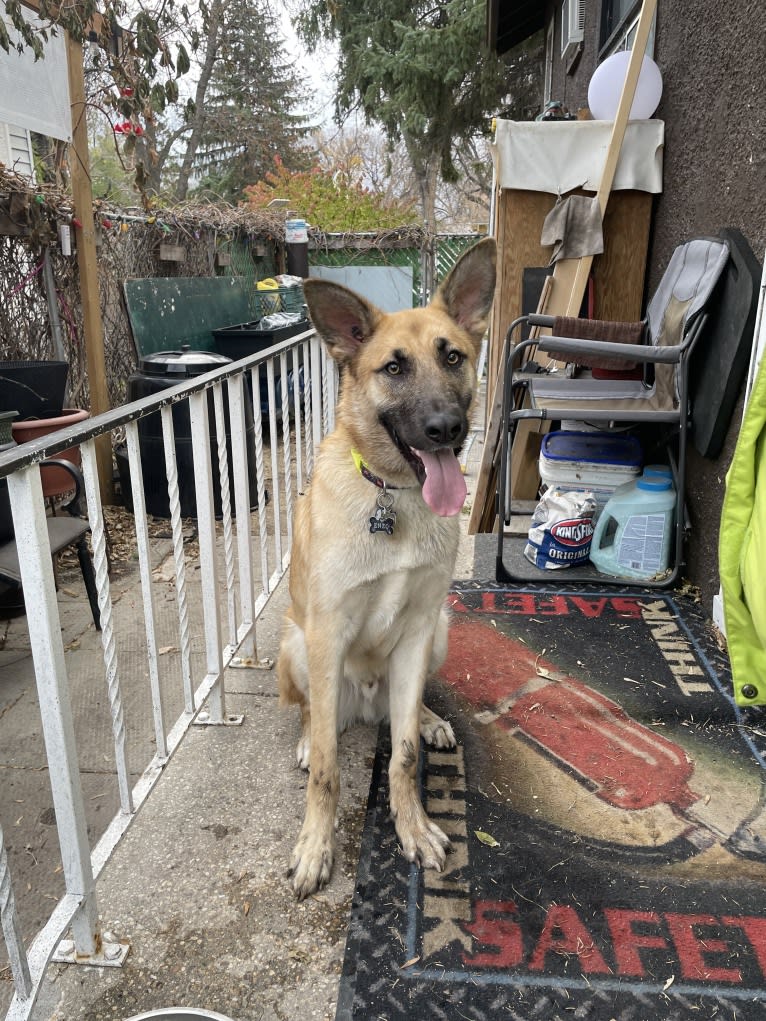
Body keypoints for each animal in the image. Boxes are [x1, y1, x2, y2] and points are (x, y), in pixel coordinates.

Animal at [279, 236, 500, 894]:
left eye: (452, 357)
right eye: (394, 369)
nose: (446, 430)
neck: (394, 498)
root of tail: (368, 700)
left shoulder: (419, 628)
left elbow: (401, 757)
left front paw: (413, 826)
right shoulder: (327, 633)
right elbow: (328, 772)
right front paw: (315, 847)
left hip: (439, 635)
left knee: (407, 707)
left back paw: (426, 717)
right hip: (295, 644)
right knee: (313, 716)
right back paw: (310, 738)